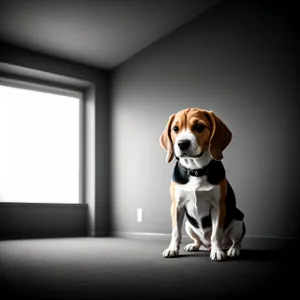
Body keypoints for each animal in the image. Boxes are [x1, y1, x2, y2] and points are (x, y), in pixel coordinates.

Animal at [158, 108, 245, 260]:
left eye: (199, 127)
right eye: (175, 129)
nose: (182, 143)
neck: (196, 170)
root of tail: (206, 245)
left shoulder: (218, 206)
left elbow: (216, 233)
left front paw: (217, 252)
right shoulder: (177, 206)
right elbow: (175, 232)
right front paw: (172, 249)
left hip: (238, 220)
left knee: (235, 241)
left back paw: (232, 250)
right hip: (188, 225)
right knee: (198, 240)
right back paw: (194, 245)